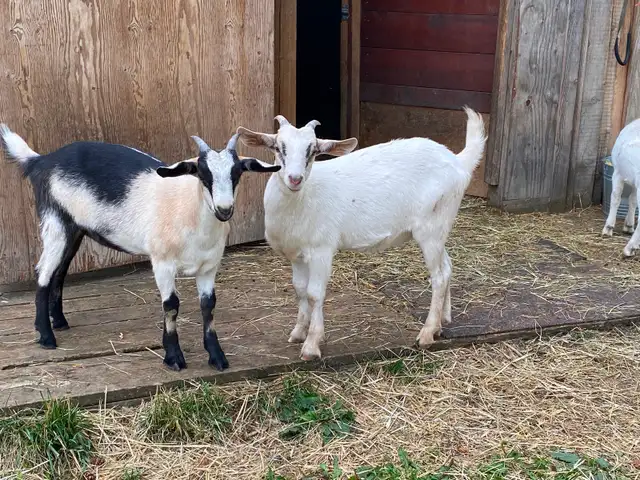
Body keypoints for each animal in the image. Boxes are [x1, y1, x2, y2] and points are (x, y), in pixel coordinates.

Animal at [0, 126, 280, 371]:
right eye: (202, 174)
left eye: (237, 173)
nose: (224, 209)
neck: (188, 211)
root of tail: (41, 161)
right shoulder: (162, 262)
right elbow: (171, 305)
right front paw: (173, 357)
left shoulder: (209, 266)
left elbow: (208, 306)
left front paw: (217, 356)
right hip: (55, 221)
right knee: (43, 273)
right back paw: (46, 337)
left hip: (75, 229)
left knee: (59, 272)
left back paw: (59, 322)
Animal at [236, 107, 486, 360]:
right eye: (279, 148)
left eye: (313, 151)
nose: (295, 179)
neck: (302, 199)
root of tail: (458, 161)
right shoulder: (296, 254)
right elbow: (299, 289)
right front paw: (298, 332)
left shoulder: (321, 249)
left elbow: (315, 293)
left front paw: (311, 345)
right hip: (440, 228)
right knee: (447, 266)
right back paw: (441, 323)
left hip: (431, 227)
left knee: (439, 276)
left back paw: (426, 333)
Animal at [602, 118, 640, 257]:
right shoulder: (635, 183)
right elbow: (632, 200)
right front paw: (628, 226)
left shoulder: (617, 173)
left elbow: (615, 197)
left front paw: (608, 228)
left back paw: (629, 248)